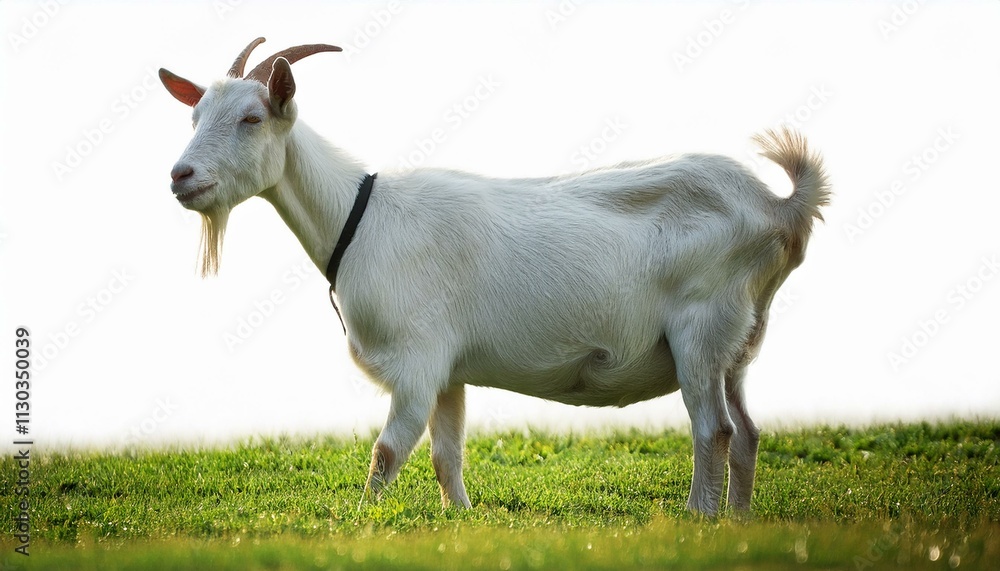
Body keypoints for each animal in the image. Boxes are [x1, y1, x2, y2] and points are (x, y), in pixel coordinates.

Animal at [159, 38, 829, 515]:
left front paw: (357, 525)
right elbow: (446, 455)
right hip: (739, 341)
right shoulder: (449, 371)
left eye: (251, 117)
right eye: (194, 114)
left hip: (702, 328)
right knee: (746, 433)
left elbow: (387, 452)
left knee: (713, 429)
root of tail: (780, 207)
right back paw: (735, 520)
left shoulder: (417, 360)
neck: (361, 217)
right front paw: (461, 520)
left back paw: (698, 517)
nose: (180, 176)